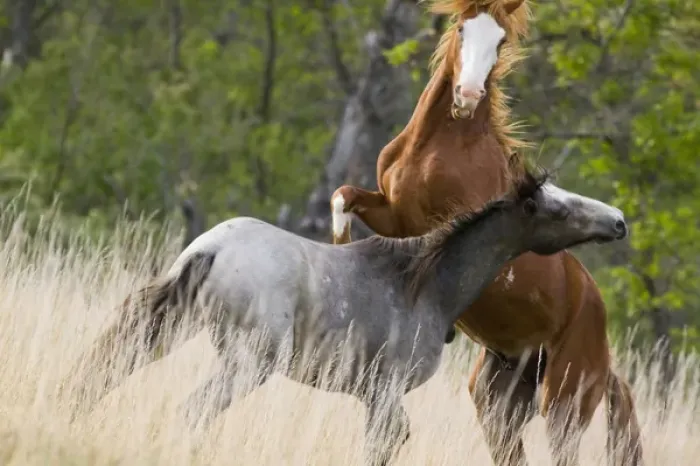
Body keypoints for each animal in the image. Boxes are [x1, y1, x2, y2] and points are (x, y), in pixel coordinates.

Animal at [61, 169, 627, 466]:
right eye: (558, 208)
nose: (619, 221)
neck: (424, 284)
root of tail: (212, 248)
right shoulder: (385, 394)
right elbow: (382, 445)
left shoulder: (378, 398)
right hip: (249, 365)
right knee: (195, 410)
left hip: (172, 328)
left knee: (109, 373)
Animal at [329, 1, 643, 465]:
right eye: (461, 28)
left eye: (501, 40)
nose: (468, 96)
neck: (437, 148)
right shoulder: (389, 209)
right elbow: (342, 198)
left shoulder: (432, 224)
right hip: (498, 400)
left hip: (565, 399)